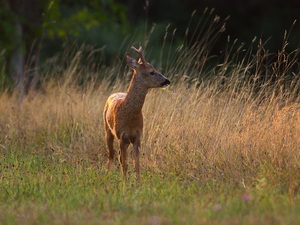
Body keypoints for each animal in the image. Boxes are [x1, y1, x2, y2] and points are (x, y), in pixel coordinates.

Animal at [103, 45, 170, 181]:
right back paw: (106, 177)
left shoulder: (137, 137)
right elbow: (125, 165)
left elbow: (137, 164)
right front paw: (125, 182)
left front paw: (138, 182)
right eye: (151, 72)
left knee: (118, 155)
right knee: (111, 154)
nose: (167, 81)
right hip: (108, 130)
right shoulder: (122, 136)